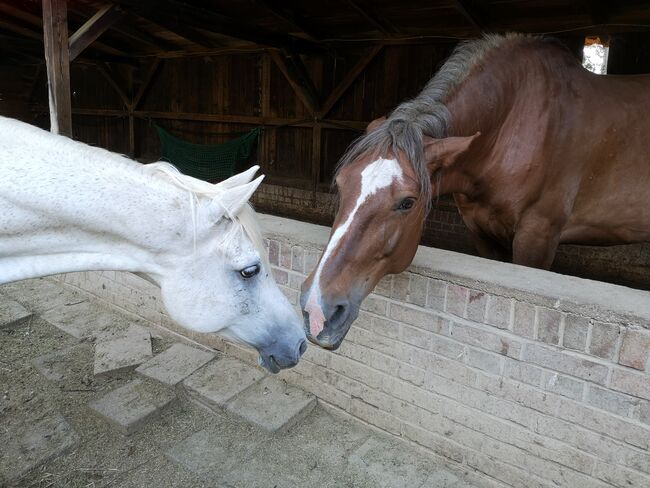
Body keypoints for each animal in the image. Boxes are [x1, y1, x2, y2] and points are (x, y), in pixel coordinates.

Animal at [298, 33, 648, 346]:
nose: (317, 311)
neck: (513, 124)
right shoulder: (480, 229)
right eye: (341, 184)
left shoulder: (538, 236)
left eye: (407, 202)